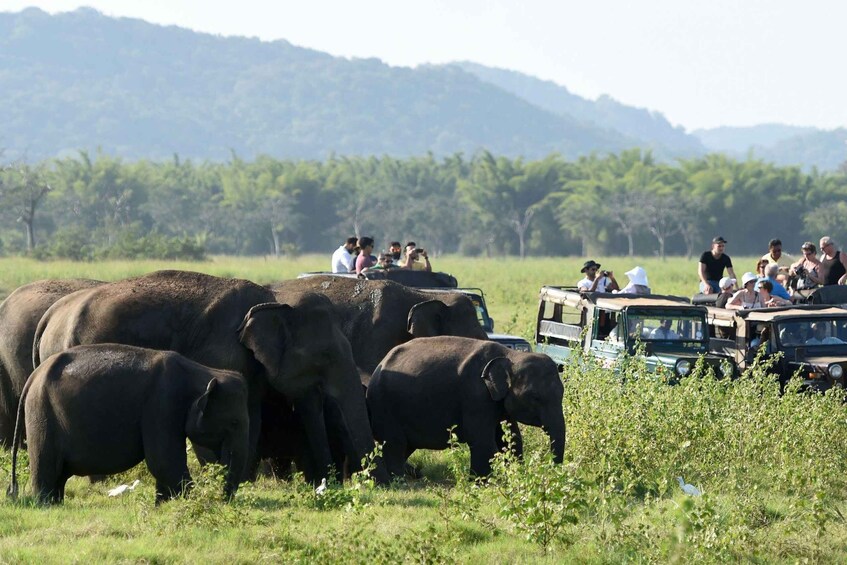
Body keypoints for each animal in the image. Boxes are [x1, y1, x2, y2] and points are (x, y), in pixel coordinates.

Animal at [8, 344, 249, 504]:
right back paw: (46, 505)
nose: (222, 500)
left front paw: (162, 506)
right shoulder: (162, 405)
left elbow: (164, 463)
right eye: (234, 422)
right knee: (46, 469)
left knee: (58, 476)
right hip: (41, 415)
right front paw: (188, 501)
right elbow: (164, 461)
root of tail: (33, 377)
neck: (202, 371)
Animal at [32, 270, 382, 484]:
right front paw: (223, 476)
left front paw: (242, 479)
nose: (373, 483)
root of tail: (50, 316)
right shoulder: (221, 353)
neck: (272, 298)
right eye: (325, 357)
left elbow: (251, 416)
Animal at [367, 336, 565, 477]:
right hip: (384, 407)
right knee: (395, 444)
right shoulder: (475, 395)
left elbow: (511, 437)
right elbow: (481, 438)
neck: (510, 355)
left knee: (405, 446)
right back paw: (398, 479)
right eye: (535, 397)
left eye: (562, 393)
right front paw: (483, 482)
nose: (552, 470)